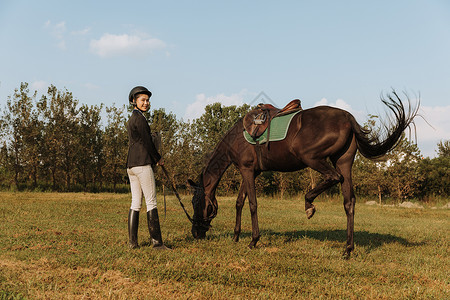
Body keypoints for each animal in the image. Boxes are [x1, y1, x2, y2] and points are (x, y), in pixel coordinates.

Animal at [187, 92, 418, 258]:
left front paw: (253, 240)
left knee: (333, 178)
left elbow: (252, 204)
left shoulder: (247, 170)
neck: (236, 137)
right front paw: (236, 237)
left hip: (312, 158)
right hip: (343, 161)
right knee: (349, 202)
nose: (195, 233)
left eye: (195, 202)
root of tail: (348, 118)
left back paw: (309, 205)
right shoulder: (251, 171)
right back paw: (347, 249)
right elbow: (239, 203)